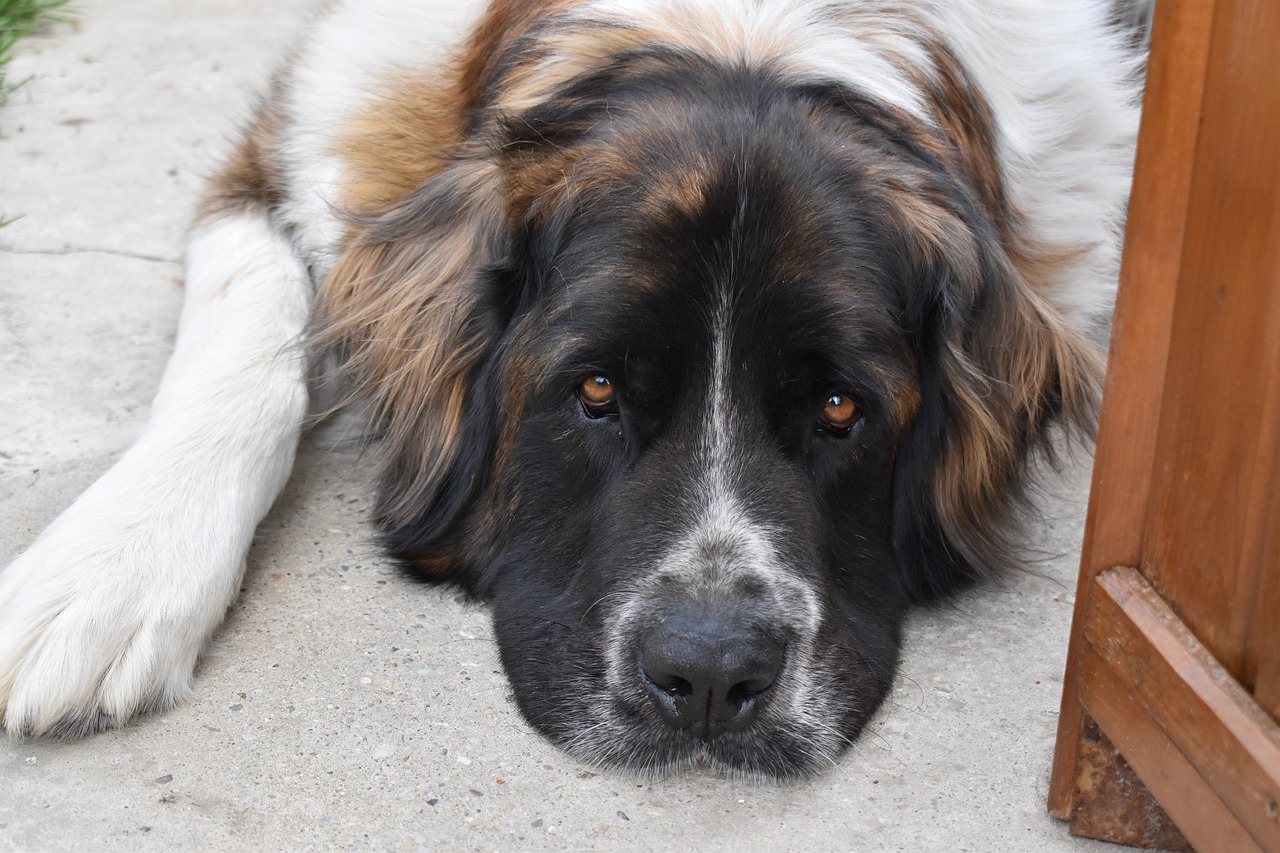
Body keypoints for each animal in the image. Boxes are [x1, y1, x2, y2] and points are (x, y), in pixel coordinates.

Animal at [0, 0, 1141, 778]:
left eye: (836, 410)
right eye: (594, 389)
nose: (711, 674)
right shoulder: (304, 133)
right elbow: (249, 332)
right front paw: (108, 575)